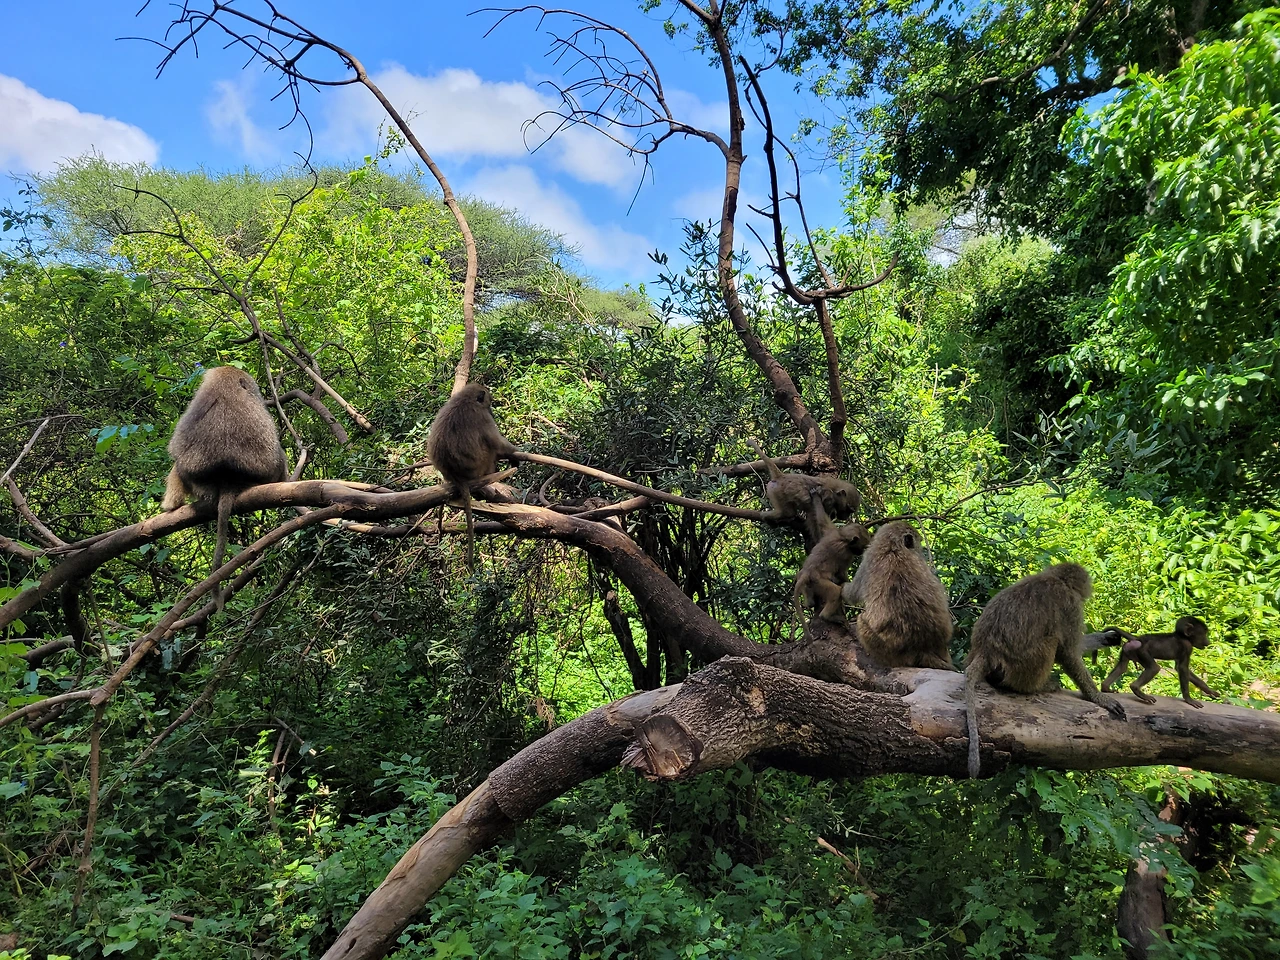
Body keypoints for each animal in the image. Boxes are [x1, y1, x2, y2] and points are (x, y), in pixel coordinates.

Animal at [426, 383, 517, 566]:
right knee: (490, 447)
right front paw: (514, 453)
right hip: (480, 464)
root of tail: (456, 477)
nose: (491, 408)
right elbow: (497, 442)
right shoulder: (483, 418)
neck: (465, 399)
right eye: (488, 401)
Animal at [843, 521, 956, 671]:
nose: (921, 550)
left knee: (861, 619)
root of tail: (923, 648)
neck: (893, 547)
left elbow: (851, 594)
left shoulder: (868, 558)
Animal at [964, 563, 1126, 778]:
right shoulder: (1071, 606)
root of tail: (985, 651)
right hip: (1023, 667)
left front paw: (1107, 637)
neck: (1057, 580)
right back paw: (1037, 687)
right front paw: (1099, 698)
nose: (1088, 591)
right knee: (1053, 641)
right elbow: (1068, 653)